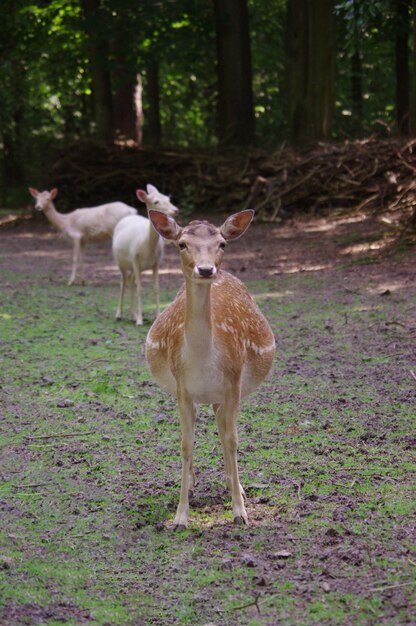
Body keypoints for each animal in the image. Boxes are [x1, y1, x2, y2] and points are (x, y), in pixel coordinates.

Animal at [112, 183, 179, 324]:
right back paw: (119, 315)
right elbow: (140, 289)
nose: (175, 210)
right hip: (121, 262)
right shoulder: (135, 260)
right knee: (123, 282)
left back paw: (132, 315)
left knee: (131, 281)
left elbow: (156, 289)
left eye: (168, 198)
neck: (147, 246)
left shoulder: (156, 263)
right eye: (156, 202)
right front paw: (140, 321)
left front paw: (156, 316)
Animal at [146, 210, 276, 528]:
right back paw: (196, 484)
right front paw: (180, 516)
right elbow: (185, 444)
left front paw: (240, 512)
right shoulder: (182, 388)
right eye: (181, 243)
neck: (203, 360)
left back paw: (235, 486)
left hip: (228, 392)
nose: (206, 269)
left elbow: (232, 440)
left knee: (223, 427)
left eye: (222, 243)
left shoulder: (233, 382)